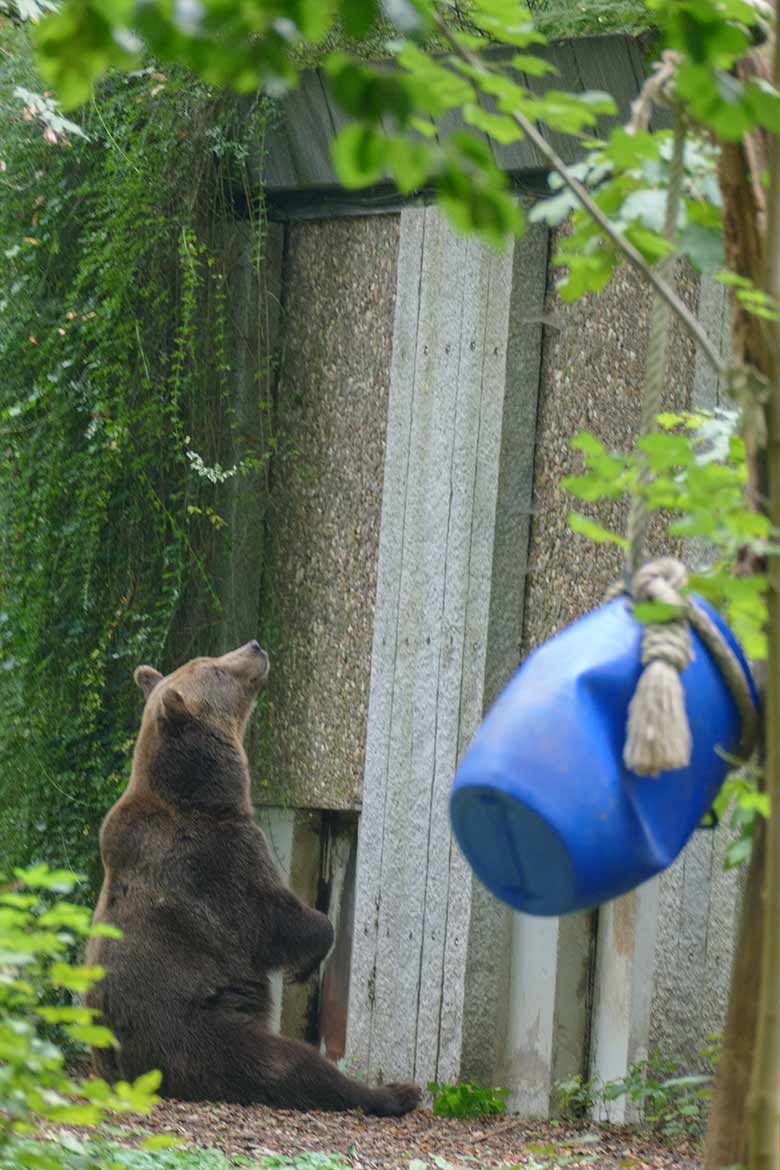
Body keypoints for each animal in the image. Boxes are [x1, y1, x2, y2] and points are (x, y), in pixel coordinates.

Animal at [85, 645, 420, 1118]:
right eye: (215, 668)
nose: (255, 647)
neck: (203, 793)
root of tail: (128, 1078)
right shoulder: (218, 862)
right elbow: (274, 919)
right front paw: (307, 962)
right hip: (204, 1032)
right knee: (292, 1063)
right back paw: (396, 1092)